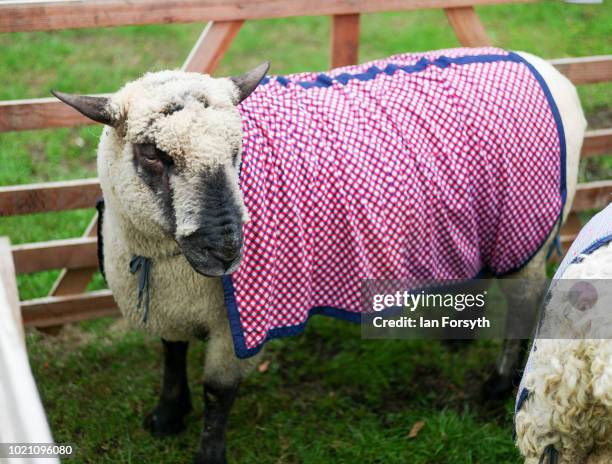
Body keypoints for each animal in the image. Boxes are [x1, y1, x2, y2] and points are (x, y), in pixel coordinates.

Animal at [53, 48, 588, 464]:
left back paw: (496, 384)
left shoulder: (241, 322)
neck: (159, 257)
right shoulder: (169, 302)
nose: (225, 250)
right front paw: (166, 415)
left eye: (238, 150)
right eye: (152, 154)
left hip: (526, 234)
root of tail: (547, 69)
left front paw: (208, 451)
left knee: (524, 306)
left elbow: (219, 390)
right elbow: (171, 352)